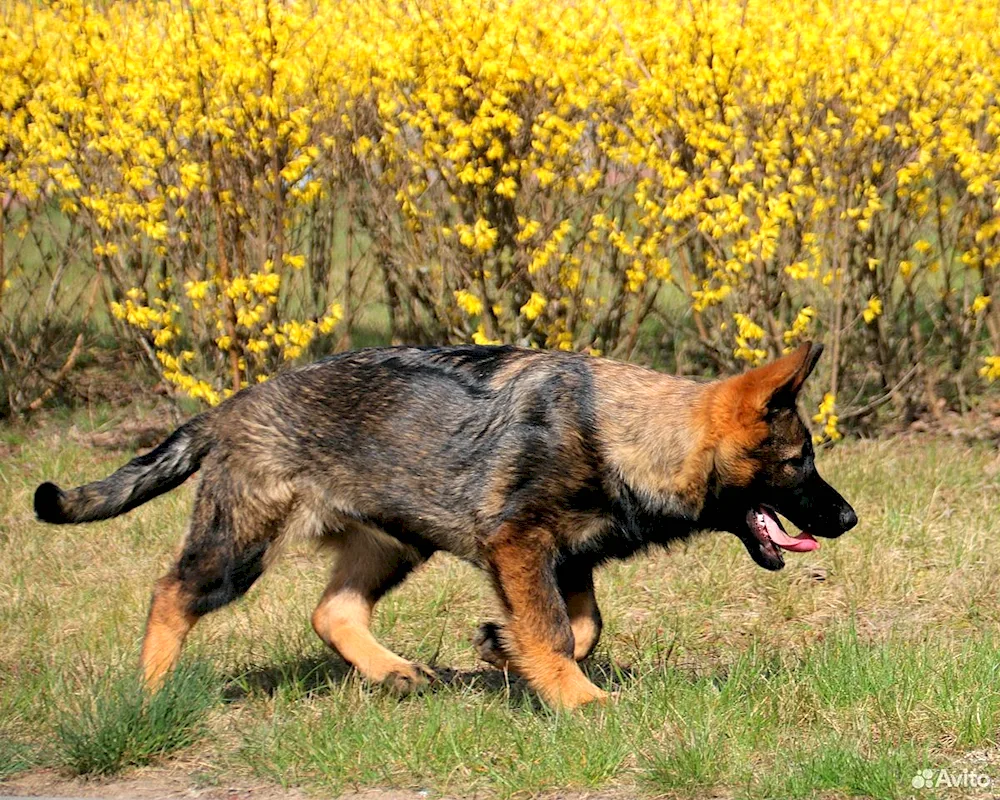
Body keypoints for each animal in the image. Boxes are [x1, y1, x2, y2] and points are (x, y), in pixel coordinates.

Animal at [35, 340, 856, 708]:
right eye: (799, 462)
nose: (849, 517)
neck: (622, 432)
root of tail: (229, 407)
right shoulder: (520, 545)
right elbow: (555, 630)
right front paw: (577, 698)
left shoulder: (565, 559)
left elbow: (581, 626)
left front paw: (503, 650)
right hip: (240, 545)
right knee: (172, 591)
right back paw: (151, 691)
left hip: (395, 543)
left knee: (332, 611)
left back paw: (391, 671)